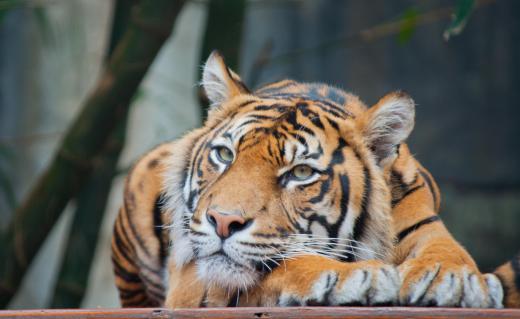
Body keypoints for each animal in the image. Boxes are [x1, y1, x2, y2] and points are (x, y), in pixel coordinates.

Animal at [110, 50, 516, 310]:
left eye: (301, 173)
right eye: (224, 155)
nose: (223, 222)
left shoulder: (424, 225)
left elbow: (448, 252)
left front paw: (457, 280)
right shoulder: (194, 273)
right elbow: (289, 263)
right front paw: (359, 278)